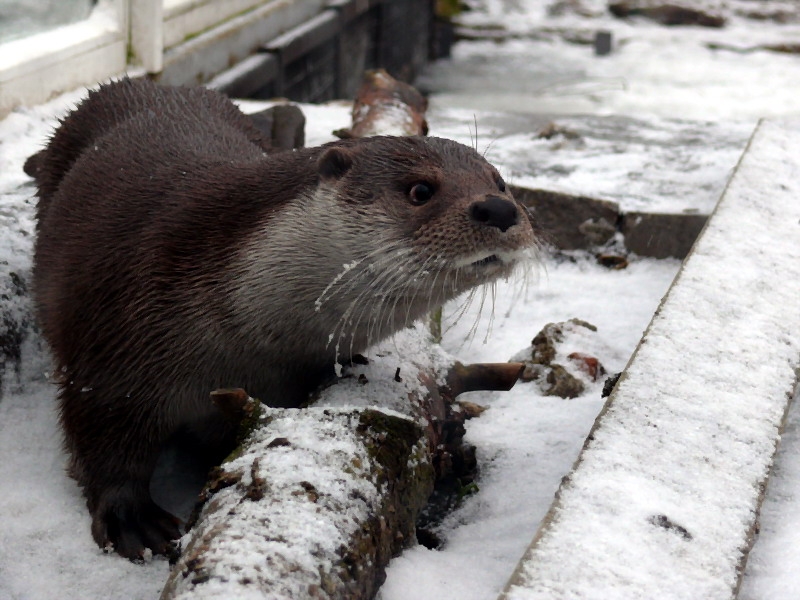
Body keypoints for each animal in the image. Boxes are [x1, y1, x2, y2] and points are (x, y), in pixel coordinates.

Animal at [26, 77, 536, 560]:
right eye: (420, 190)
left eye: (499, 180)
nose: (500, 208)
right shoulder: (116, 339)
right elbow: (102, 432)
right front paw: (132, 518)